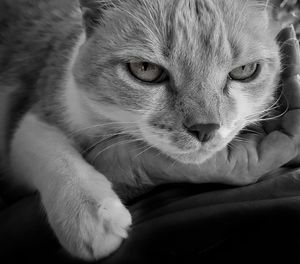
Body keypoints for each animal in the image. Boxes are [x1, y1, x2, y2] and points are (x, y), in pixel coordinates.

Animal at [0, 0, 282, 260]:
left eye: (244, 70)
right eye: (146, 69)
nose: (205, 127)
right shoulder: (39, 114)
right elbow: (52, 153)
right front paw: (89, 215)